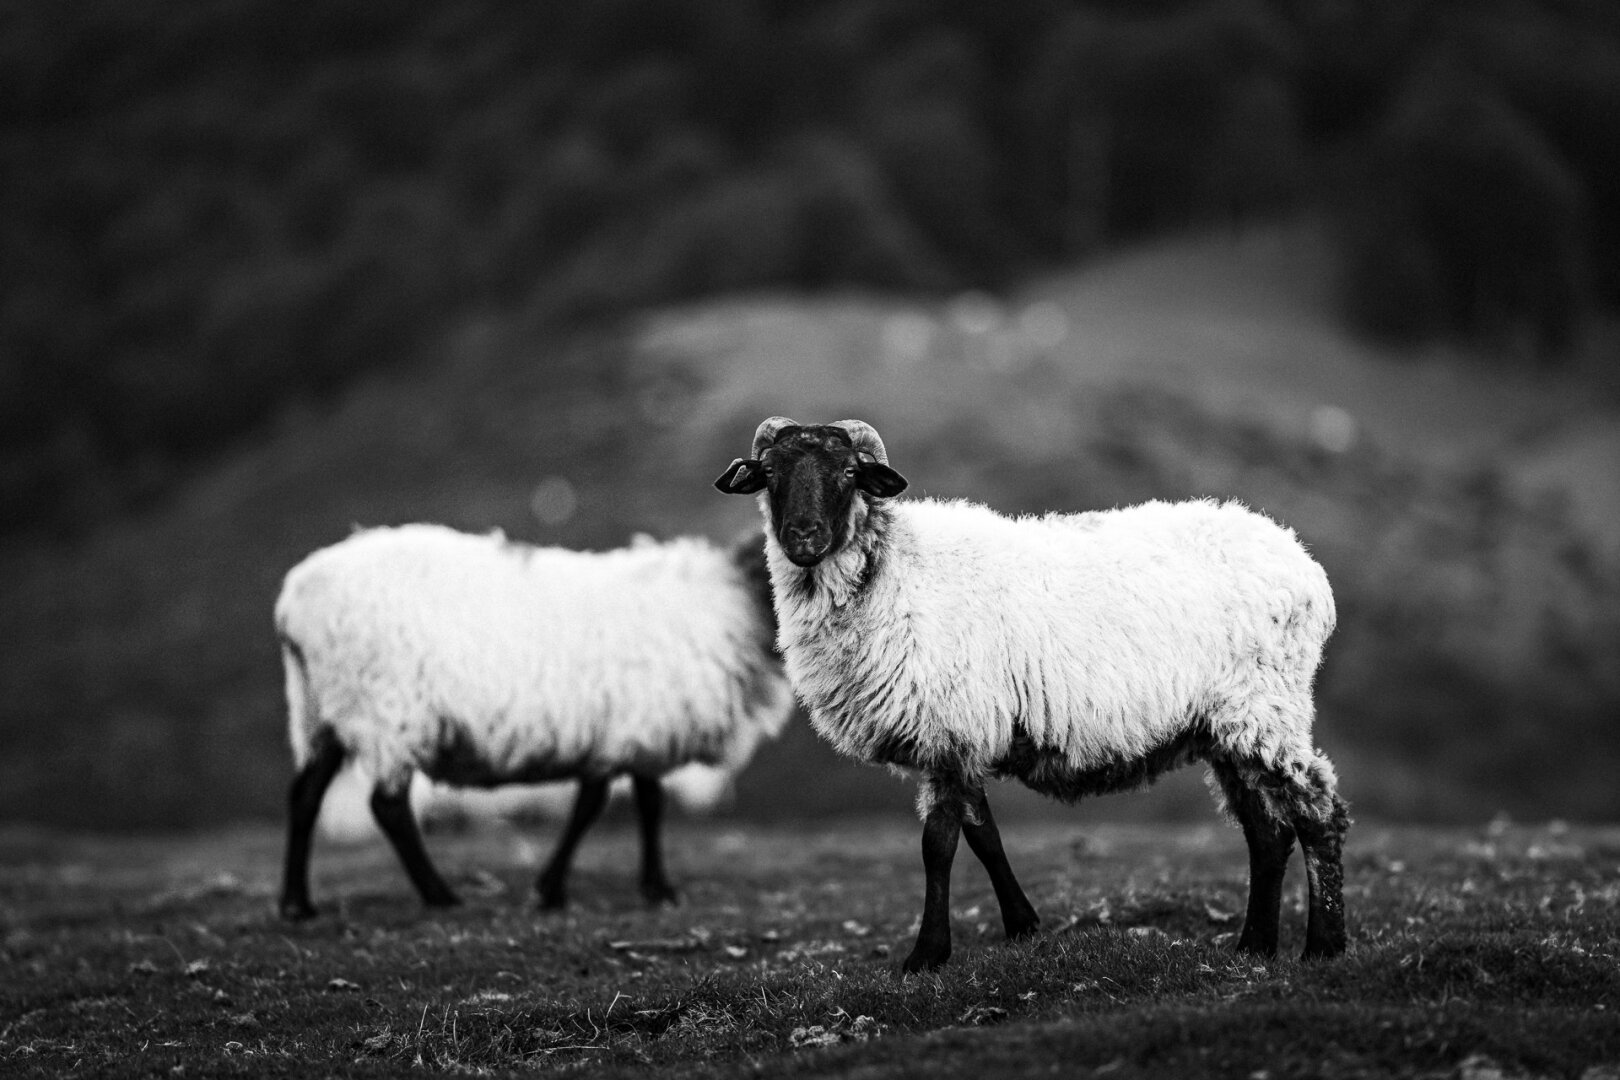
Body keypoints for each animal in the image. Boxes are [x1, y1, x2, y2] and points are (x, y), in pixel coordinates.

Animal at [274, 523, 791, 920]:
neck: (735, 605)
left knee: (305, 795)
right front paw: (553, 889)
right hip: (386, 709)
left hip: (323, 711)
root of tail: (296, 602)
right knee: (388, 806)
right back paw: (440, 896)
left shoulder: (636, 731)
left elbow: (644, 803)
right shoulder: (632, 726)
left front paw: (655, 888)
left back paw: (297, 903)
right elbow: (598, 805)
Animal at [715, 417, 1347, 972]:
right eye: (768, 473)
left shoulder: (952, 724)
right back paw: (1254, 947)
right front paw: (1023, 926)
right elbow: (984, 835)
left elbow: (938, 844)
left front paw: (926, 956)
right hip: (1227, 726)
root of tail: (1304, 565)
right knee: (1267, 832)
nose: (803, 538)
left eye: (848, 472)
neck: (894, 570)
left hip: (1266, 706)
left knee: (1318, 811)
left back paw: (1324, 947)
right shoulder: (960, 735)